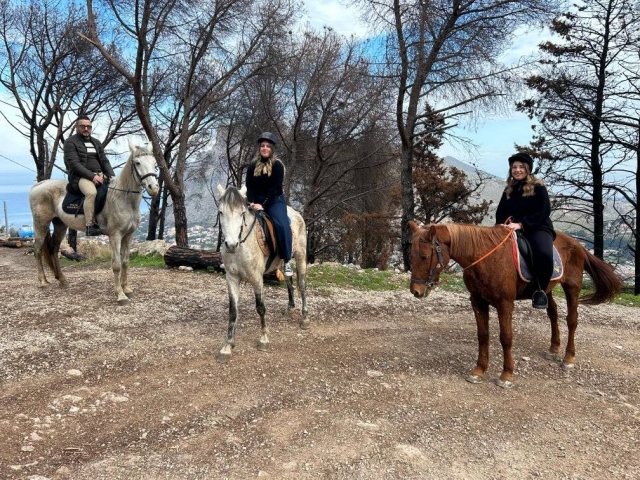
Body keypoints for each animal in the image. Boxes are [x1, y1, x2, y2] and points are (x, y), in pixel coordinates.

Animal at [29, 140, 159, 305]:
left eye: (154, 163)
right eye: (138, 162)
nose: (153, 188)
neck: (123, 198)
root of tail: (38, 185)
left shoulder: (128, 235)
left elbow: (125, 262)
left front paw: (127, 289)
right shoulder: (115, 236)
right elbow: (116, 265)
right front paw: (120, 295)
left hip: (60, 225)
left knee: (54, 249)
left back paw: (62, 280)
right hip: (41, 224)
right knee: (38, 250)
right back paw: (43, 282)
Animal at [216, 184, 308, 362]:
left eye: (242, 213)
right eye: (221, 212)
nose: (231, 245)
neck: (242, 246)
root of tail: (296, 213)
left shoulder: (257, 278)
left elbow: (260, 307)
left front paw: (264, 338)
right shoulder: (231, 278)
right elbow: (233, 311)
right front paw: (227, 346)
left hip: (301, 256)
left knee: (302, 285)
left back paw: (305, 318)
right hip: (283, 263)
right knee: (289, 282)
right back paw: (289, 308)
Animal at [408, 222, 622, 388]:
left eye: (425, 257)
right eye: (412, 255)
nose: (415, 291)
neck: (485, 257)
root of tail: (577, 244)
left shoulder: (505, 304)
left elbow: (506, 337)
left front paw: (506, 375)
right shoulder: (478, 301)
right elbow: (483, 335)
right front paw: (479, 370)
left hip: (572, 287)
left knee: (572, 320)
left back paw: (568, 358)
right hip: (547, 290)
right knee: (552, 314)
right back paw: (553, 349)